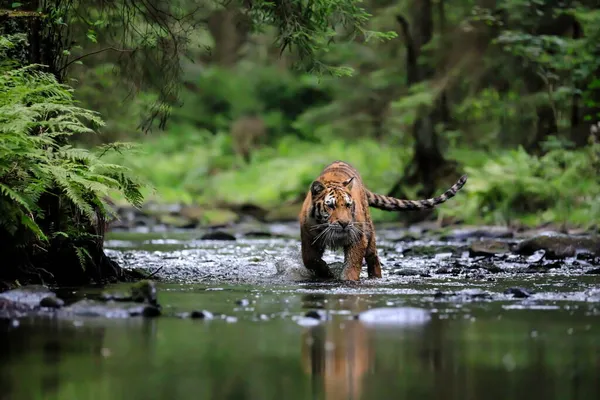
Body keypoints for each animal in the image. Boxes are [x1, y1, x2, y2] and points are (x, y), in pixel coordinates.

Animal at [300, 161, 468, 280]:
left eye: (347, 205)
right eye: (331, 206)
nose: (344, 223)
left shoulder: (358, 237)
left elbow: (352, 264)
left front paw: (347, 279)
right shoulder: (308, 236)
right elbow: (310, 259)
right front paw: (325, 272)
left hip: (370, 234)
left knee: (374, 258)